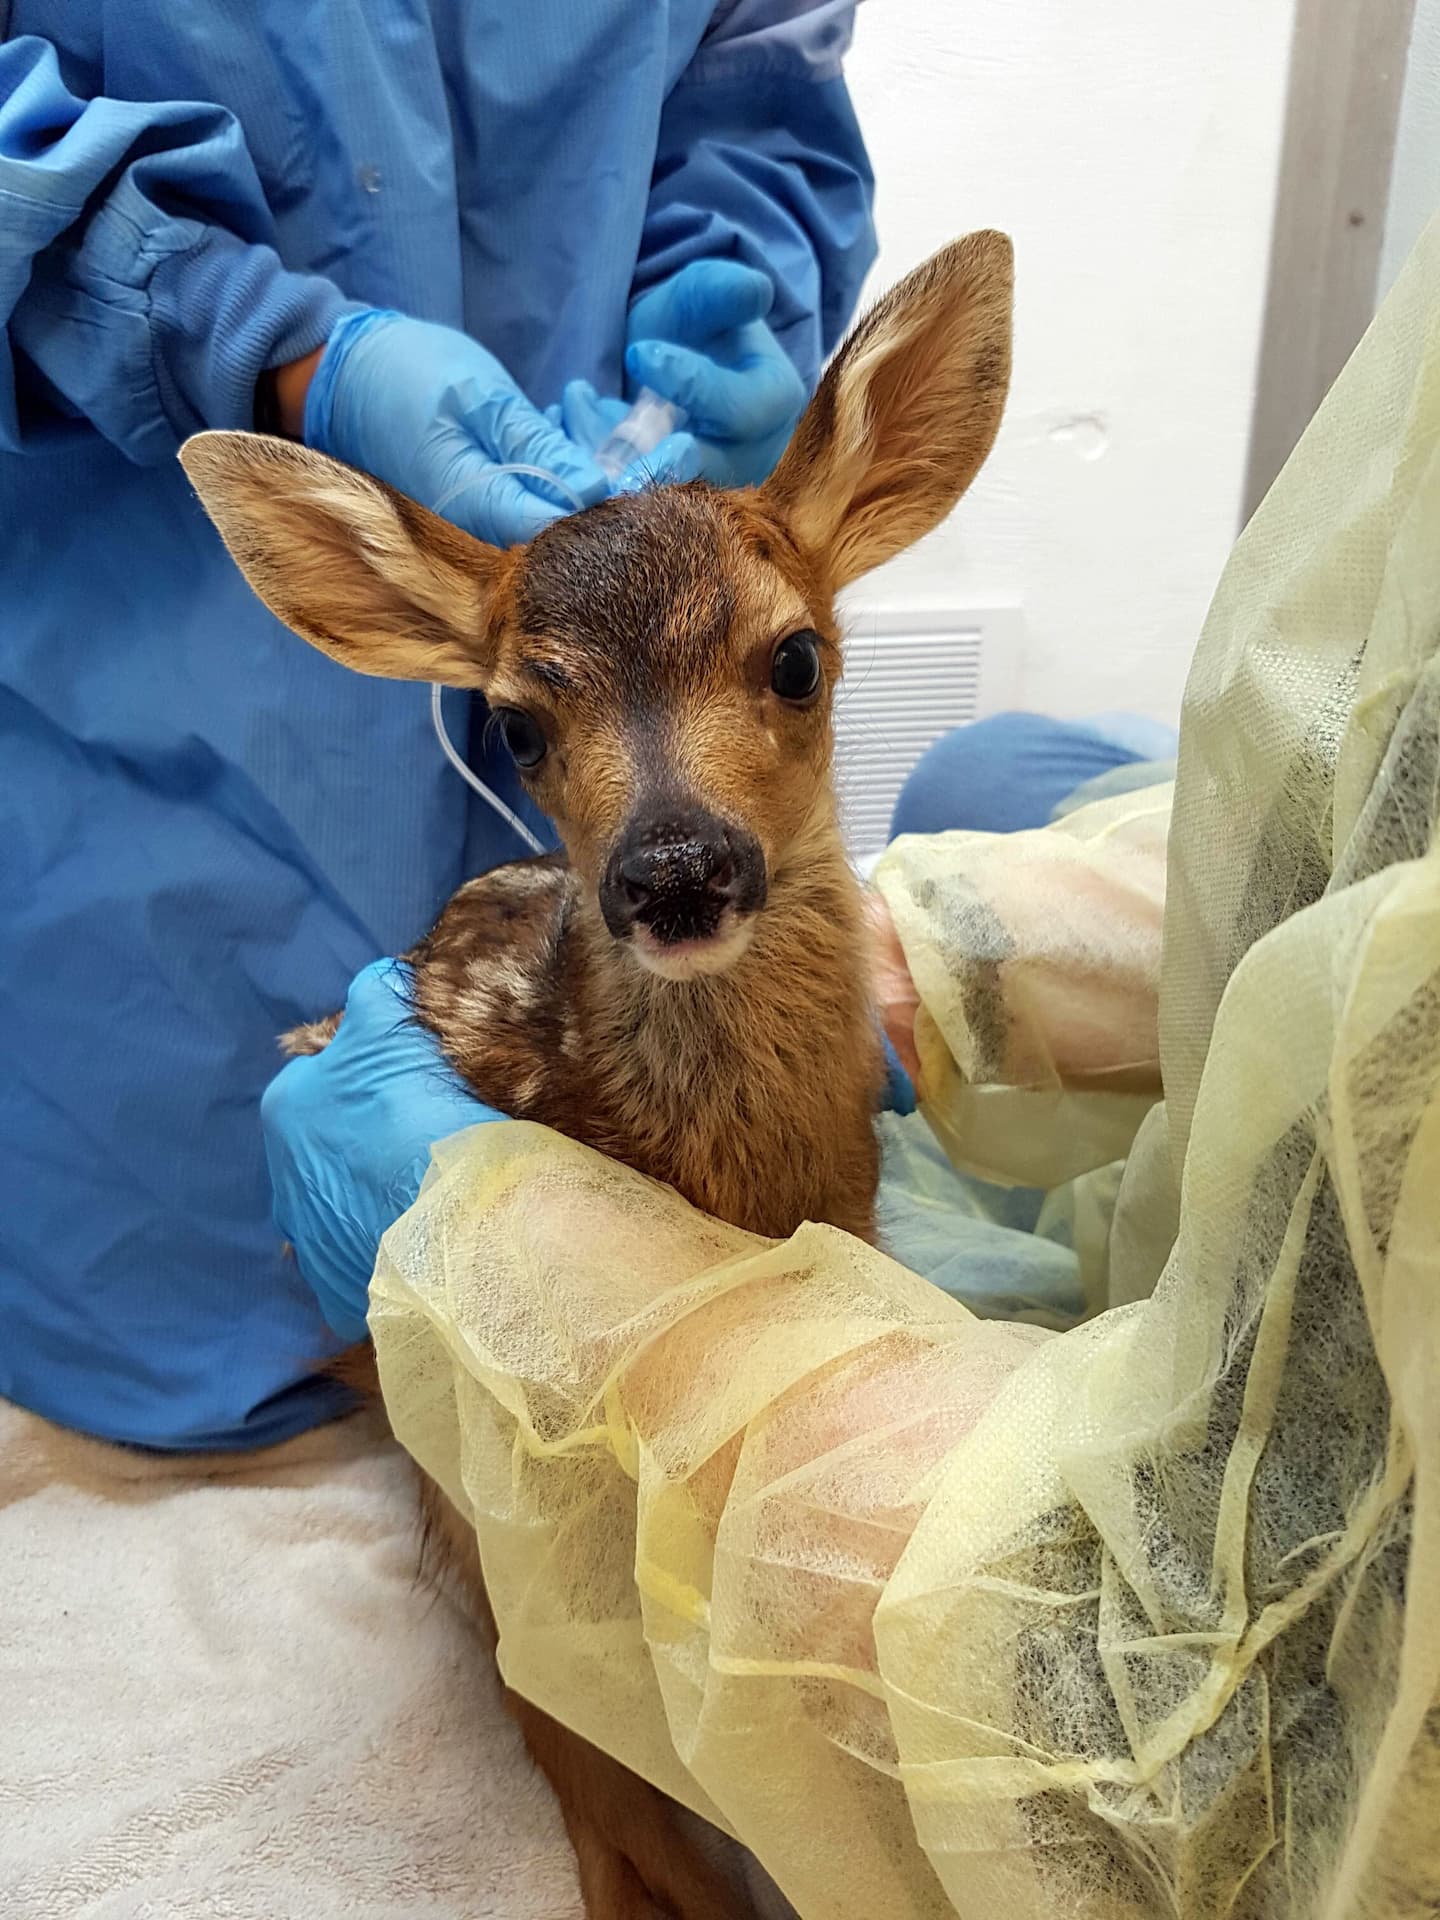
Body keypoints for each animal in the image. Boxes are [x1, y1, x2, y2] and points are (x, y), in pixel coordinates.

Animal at [179, 228, 1013, 1920]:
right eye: (513, 720)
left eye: (797, 657)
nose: (676, 868)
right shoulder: (481, 1426)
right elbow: (553, 1692)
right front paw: (657, 1883)